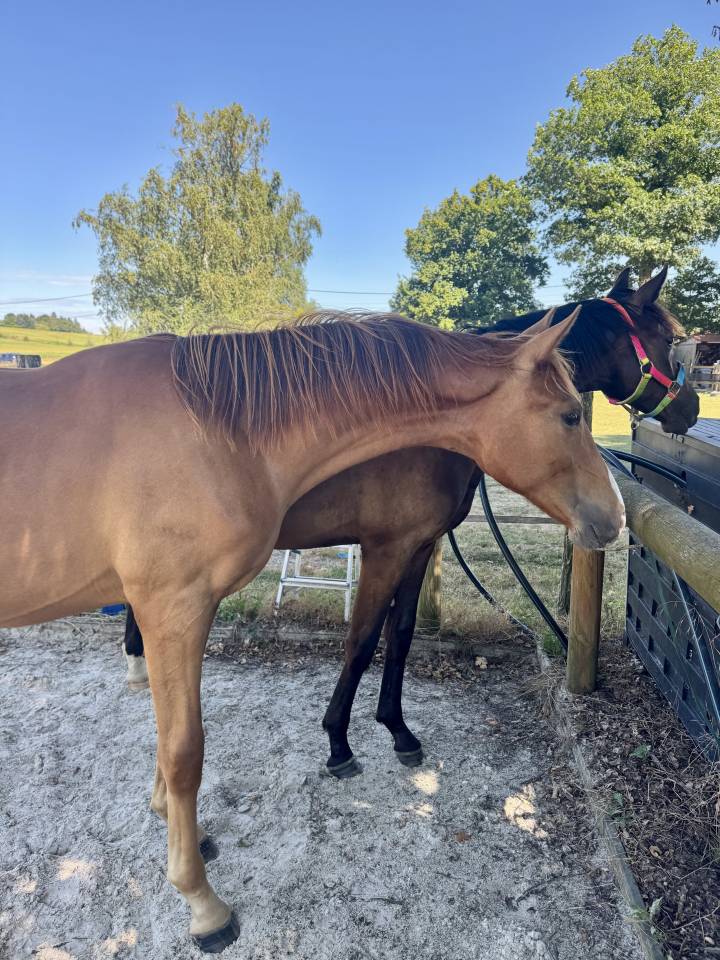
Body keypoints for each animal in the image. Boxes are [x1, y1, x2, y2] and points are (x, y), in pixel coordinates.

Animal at [0, 308, 624, 951]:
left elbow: (394, 640)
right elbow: (191, 746)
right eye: (570, 415)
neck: (213, 433)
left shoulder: (405, 551)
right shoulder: (190, 602)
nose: (616, 517)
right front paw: (204, 901)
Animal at [121, 267, 699, 782]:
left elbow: (398, 637)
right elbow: (360, 642)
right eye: (669, 341)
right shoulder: (385, 549)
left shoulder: (419, 546)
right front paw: (338, 743)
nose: (691, 411)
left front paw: (397, 731)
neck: (435, 429)